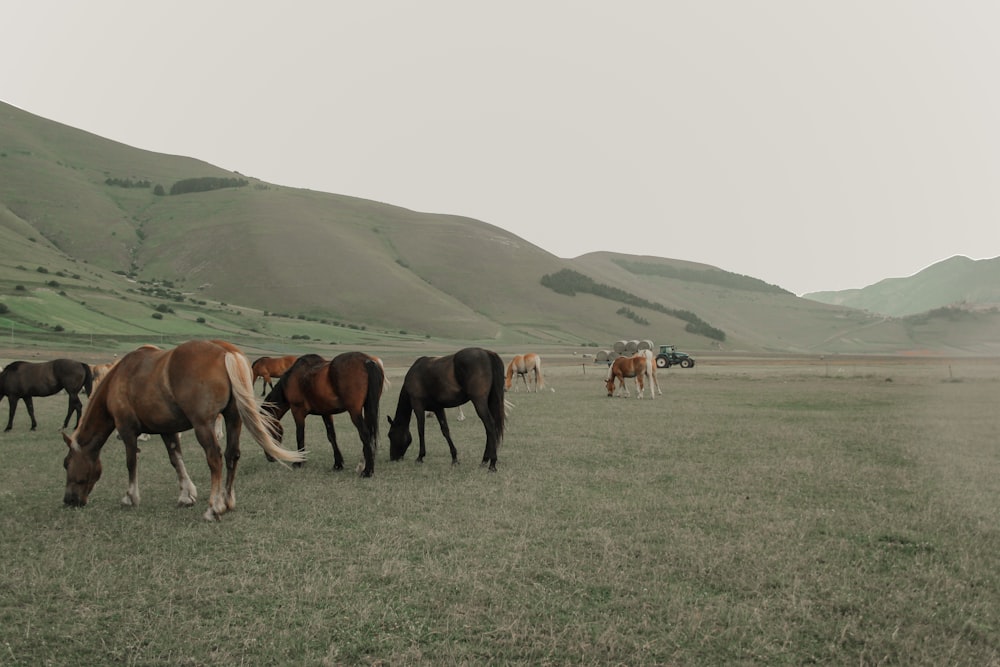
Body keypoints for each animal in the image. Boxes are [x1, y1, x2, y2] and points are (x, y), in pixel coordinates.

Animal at [62, 340, 302, 520]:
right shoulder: (167, 429)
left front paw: (130, 497)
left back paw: (214, 507)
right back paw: (227, 500)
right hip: (234, 418)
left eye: (66, 464)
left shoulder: (127, 429)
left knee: (215, 458)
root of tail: (226, 351)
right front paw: (186, 495)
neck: (119, 378)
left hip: (203, 424)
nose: (69, 500)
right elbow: (176, 459)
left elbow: (131, 462)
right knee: (232, 455)